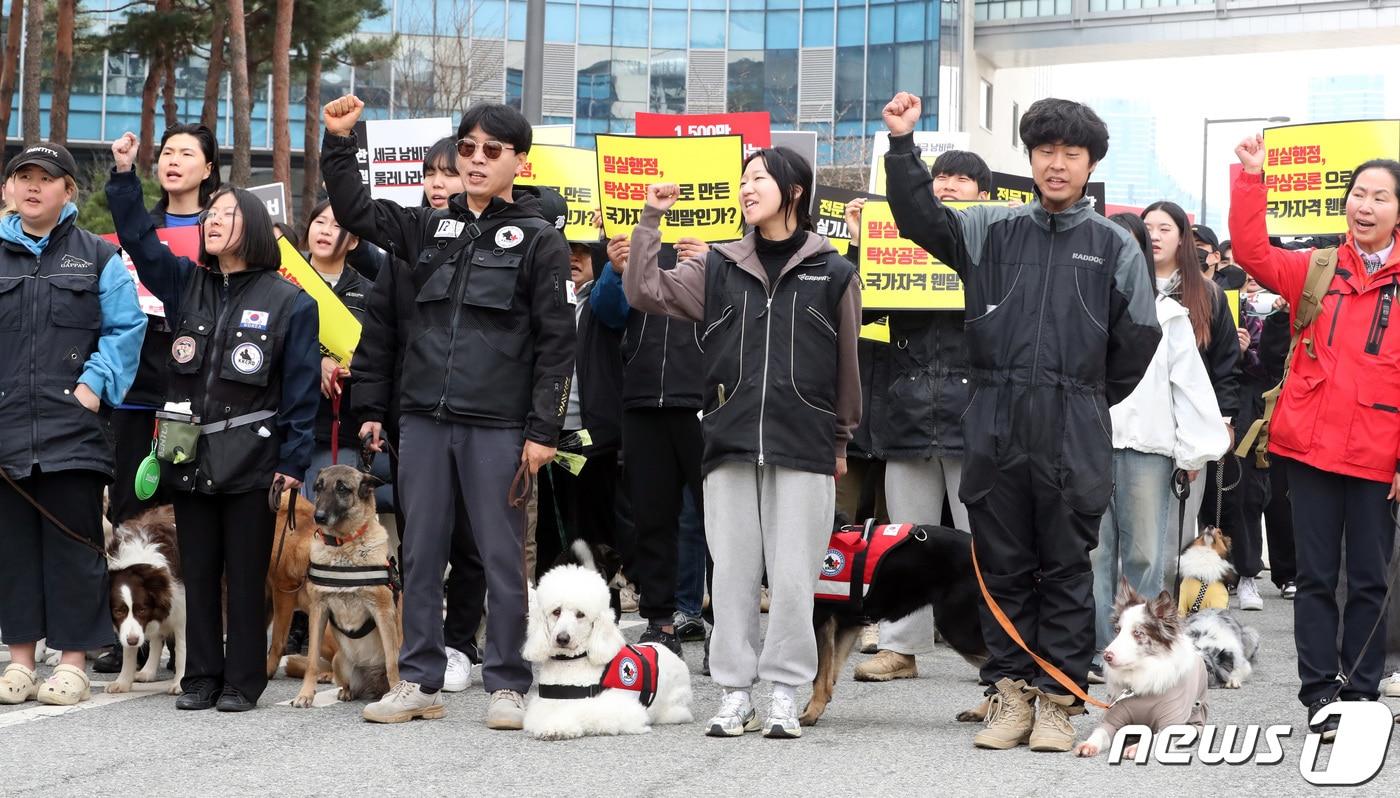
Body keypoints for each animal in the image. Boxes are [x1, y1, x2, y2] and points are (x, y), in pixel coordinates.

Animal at [104, 506, 184, 691]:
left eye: (142, 609)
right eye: (118, 611)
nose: (133, 641)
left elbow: (182, 649)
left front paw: (180, 682)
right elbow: (129, 651)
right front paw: (122, 682)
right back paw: (147, 672)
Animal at [289, 462, 400, 705]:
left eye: (342, 489)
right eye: (319, 487)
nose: (318, 517)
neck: (343, 544)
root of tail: (374, 684)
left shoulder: (383, 611)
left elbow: (391, 661)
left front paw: (397, 692)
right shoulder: (318, 610)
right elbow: (311, 660)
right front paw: (305, 694)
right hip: (340, 661)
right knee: (344, 681)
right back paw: (346, 691)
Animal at [523, 562, 691, 733]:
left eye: (580, 614)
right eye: (556, 611)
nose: (562, 638)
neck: (570, 663)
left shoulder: (616, 707)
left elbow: (579, 711)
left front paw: (557, 727)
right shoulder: (545, 703)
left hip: (674, 709)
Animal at [806, 518, 991, 722]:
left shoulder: (819, 621)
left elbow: (819, 674)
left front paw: (810, 713)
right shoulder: (848, 624)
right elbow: (830, 672)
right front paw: (817, 706)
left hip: (958, 629)